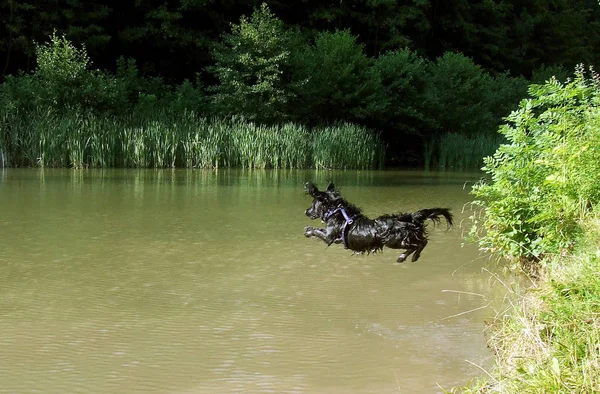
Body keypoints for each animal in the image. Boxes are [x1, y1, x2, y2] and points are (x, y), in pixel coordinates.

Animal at [304, 182, 454, 264]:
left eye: (313, 204)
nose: (306, 211)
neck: (336, 211)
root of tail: (409, 218)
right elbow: (317, 229)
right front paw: (308, 228)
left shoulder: (329, 237)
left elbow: (316, 231)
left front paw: (307, 232)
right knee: (422, 241)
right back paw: (410, 257)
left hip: (395, 241)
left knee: (419, 243)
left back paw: (405, 257)